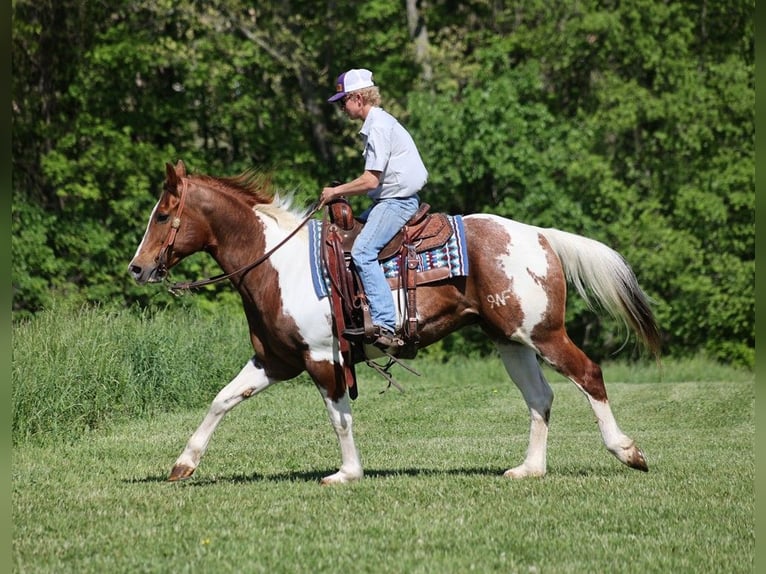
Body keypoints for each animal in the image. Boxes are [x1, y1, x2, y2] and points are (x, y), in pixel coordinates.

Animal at [129, 161, 664, 486]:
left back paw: (628, 452)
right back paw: (529, 469)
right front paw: (182, 465)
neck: (278, 264)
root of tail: (539, 234)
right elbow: (222, 400)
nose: (137, 268)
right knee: (540, 397)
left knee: (589, 375)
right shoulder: (274, 360)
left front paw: (347, 473)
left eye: (163, 215)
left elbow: (339, 416)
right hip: (510, 340)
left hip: (543, 333)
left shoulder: (322, 357)